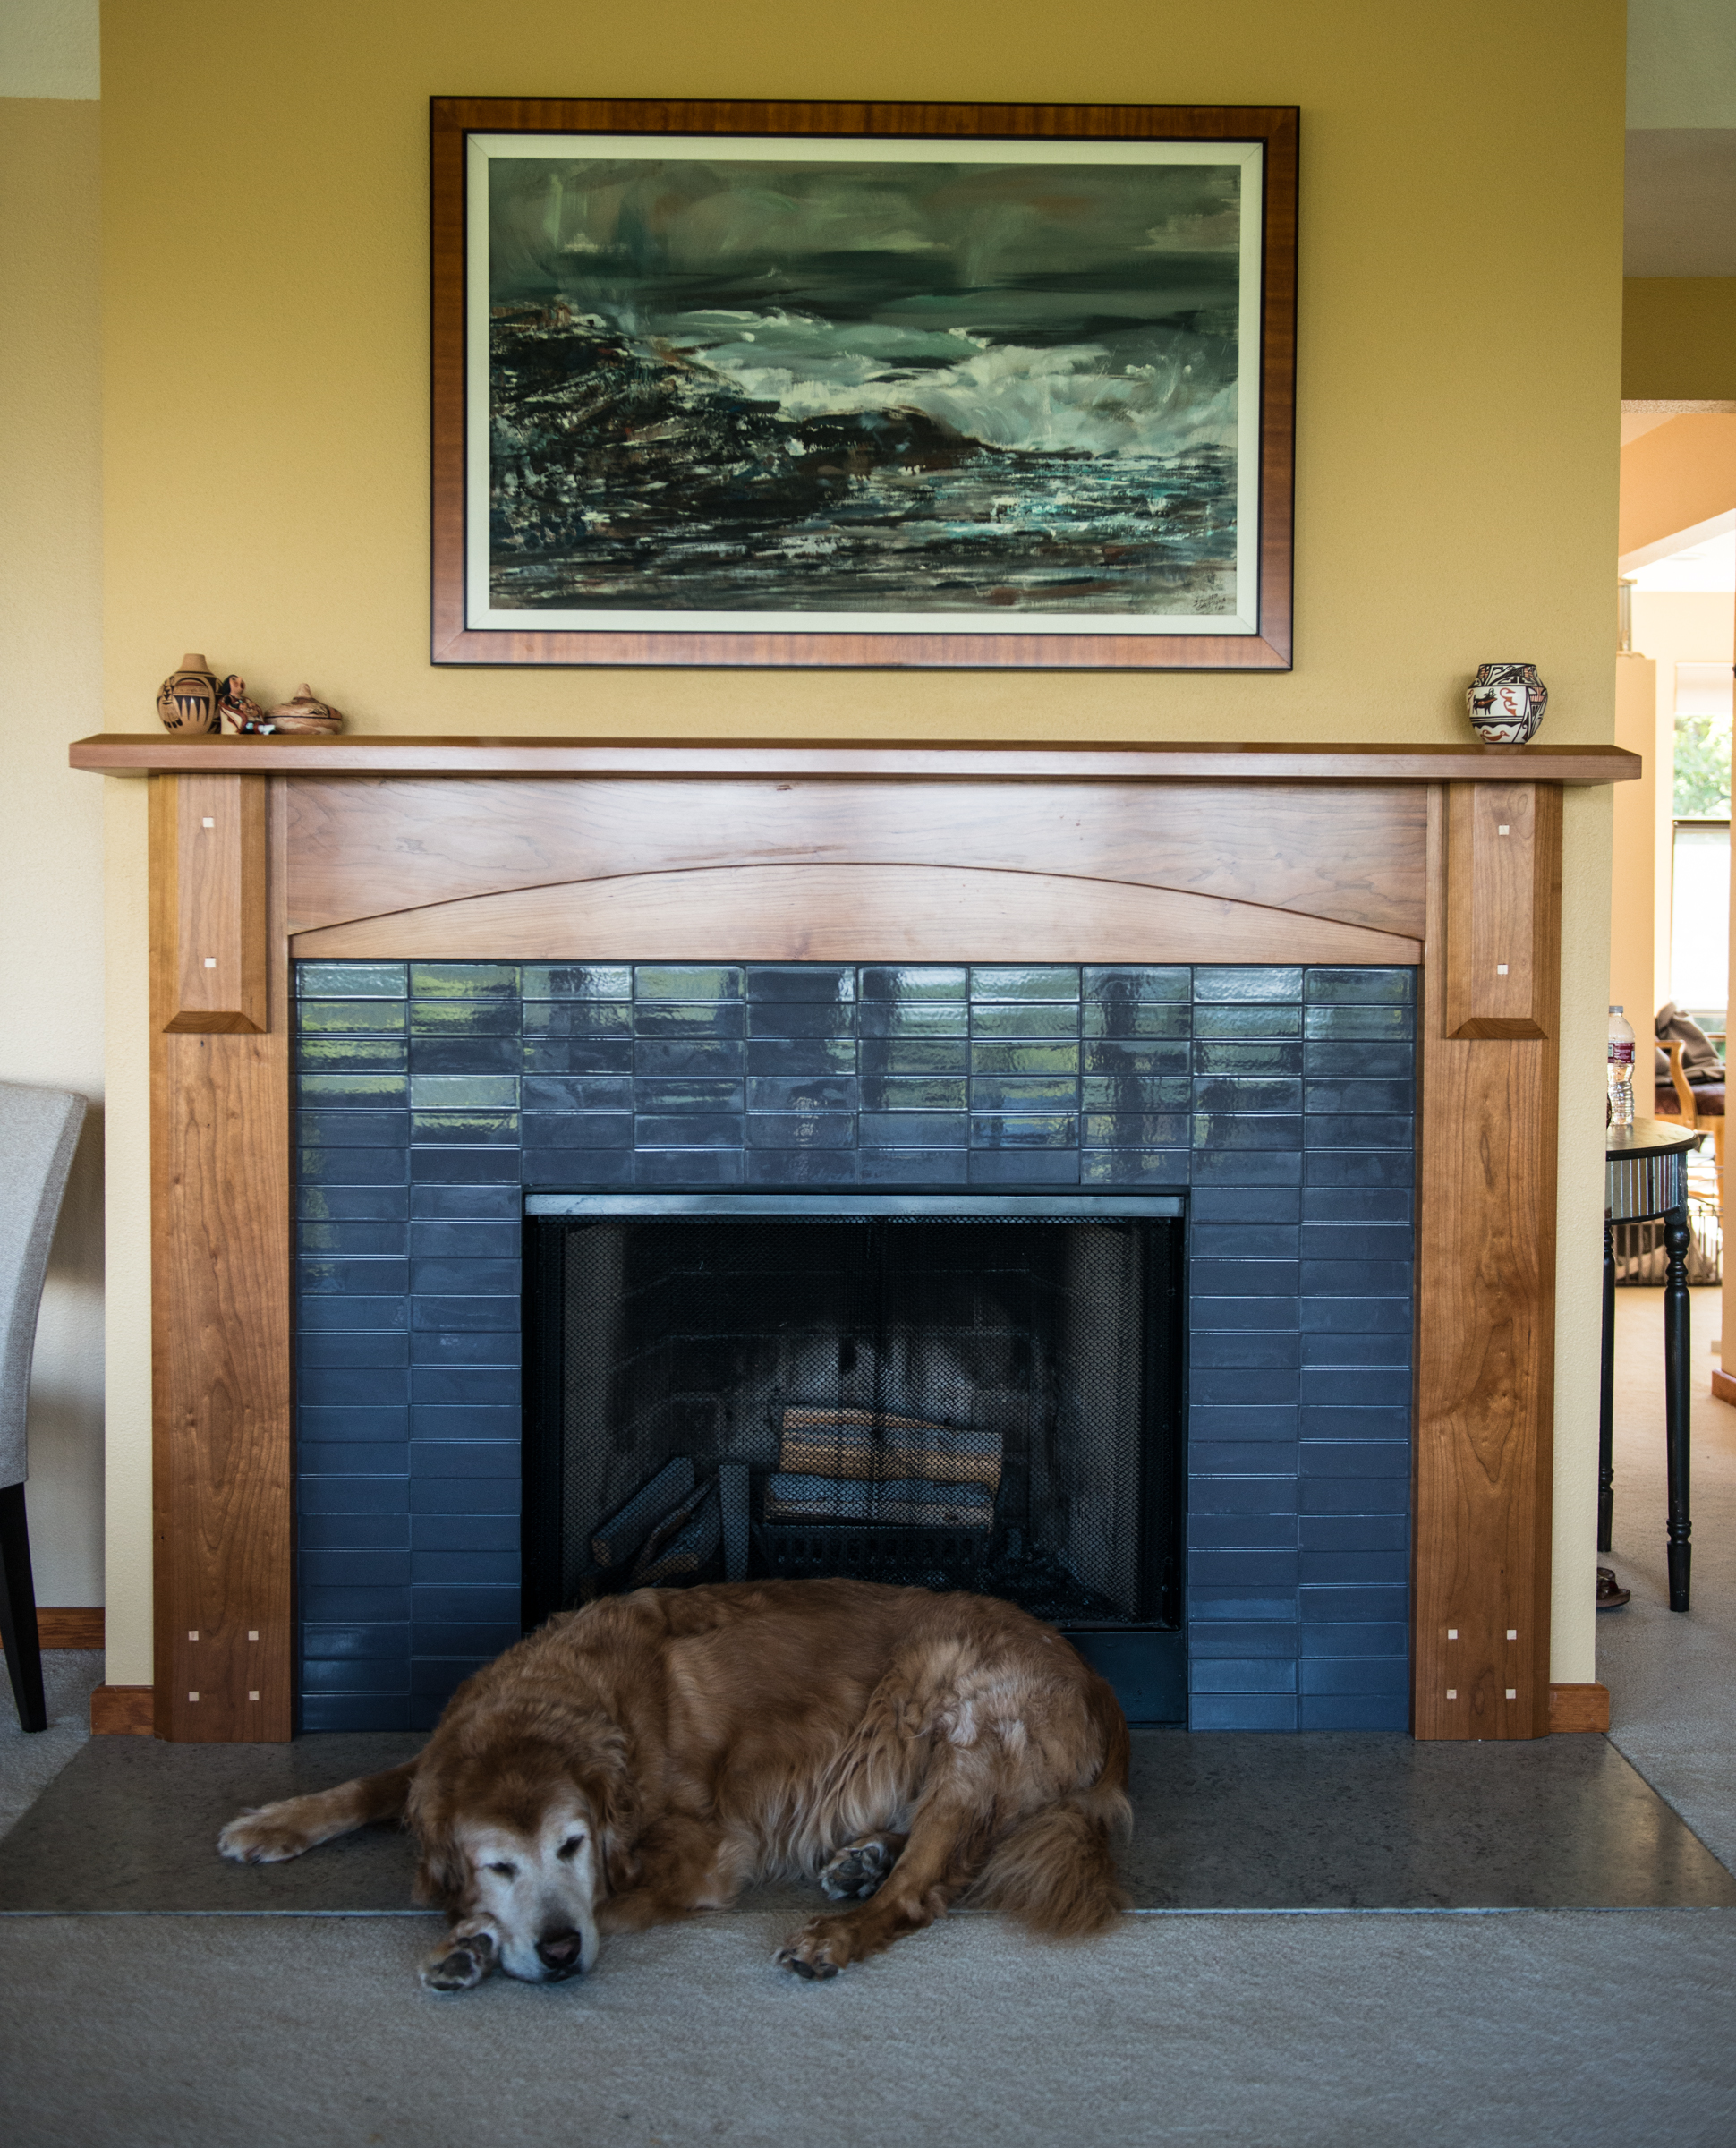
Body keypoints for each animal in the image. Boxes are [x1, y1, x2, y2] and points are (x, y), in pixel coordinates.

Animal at [217, 1572, 1134, 1984]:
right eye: (498, 1863)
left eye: (573, 1845)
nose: (557, 1952)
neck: (571, 1702)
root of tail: (1097, 1676)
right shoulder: (436, 1761)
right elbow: (375, 1785)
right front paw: (273, 1821)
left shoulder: (706, 1851)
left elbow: (610, 1902)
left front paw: (478, 1939)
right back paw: (863, 1858)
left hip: (964, 1728)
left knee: (924, 1892)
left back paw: (838, 1931)